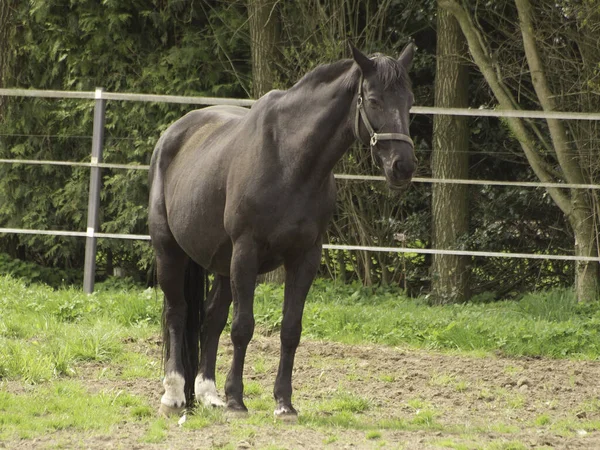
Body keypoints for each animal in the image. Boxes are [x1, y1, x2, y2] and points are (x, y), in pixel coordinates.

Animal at [148, 44, 414, 420]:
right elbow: (242, 327)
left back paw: (208, 393)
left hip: (221, 263)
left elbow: (290, 330)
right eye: (374, 100)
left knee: (210, 320)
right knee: (177, 312)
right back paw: (174, 395)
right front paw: (236, 400)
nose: (403, 167)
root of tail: (172, 135)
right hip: (170, 250)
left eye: (409, 102)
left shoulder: (305, 257)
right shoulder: (246, 252)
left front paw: (284, 403)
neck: (291, 160)